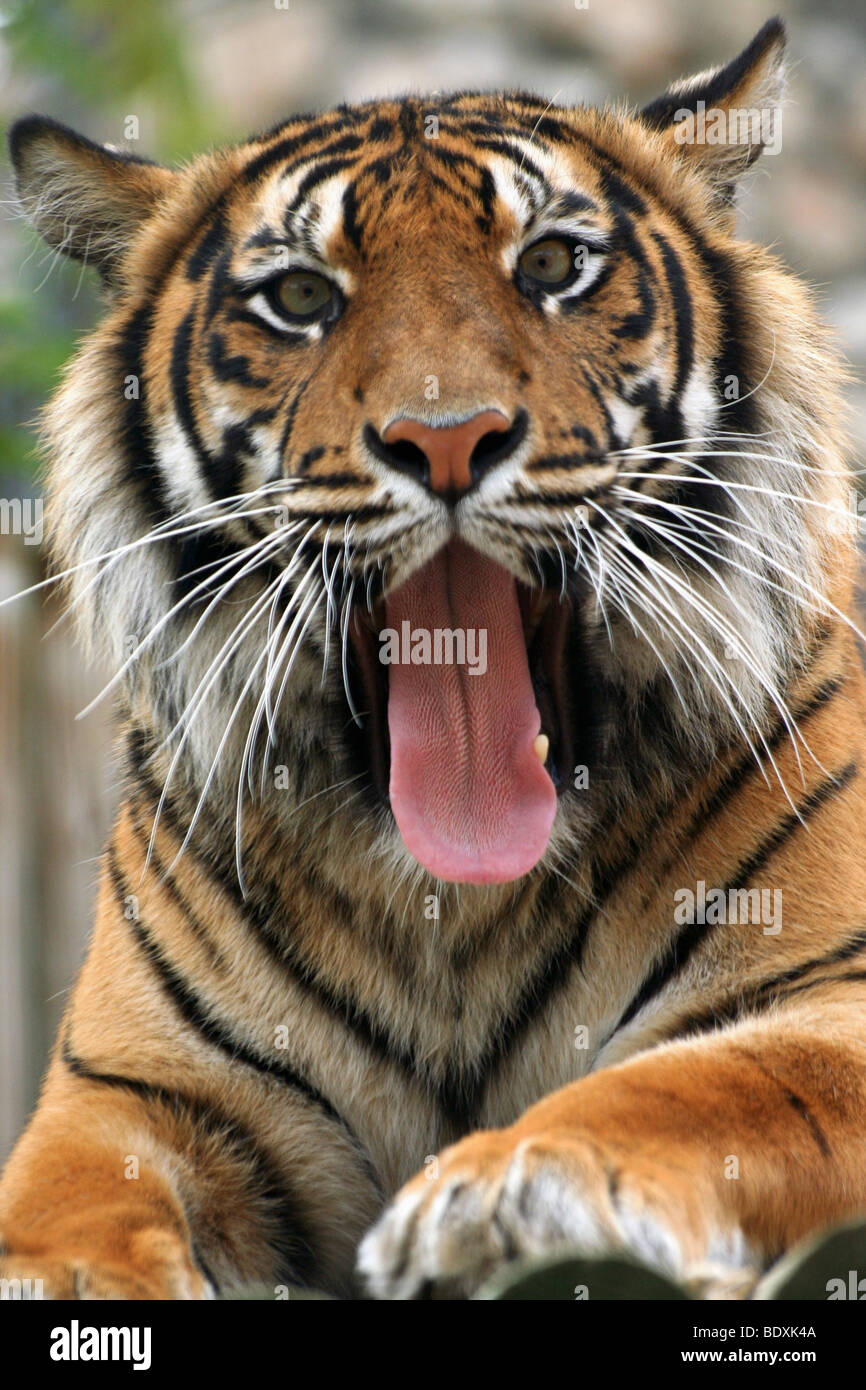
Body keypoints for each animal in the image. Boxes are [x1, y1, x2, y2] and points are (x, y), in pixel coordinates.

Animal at [2, 15, 865, 1302]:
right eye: (299, 297)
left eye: (551, 265)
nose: (446, 438)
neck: (447, 913)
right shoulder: (126, 1090)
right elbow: (67, 1209)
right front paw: (66, 1280)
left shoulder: (831, 998)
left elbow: (696, 1083)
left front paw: (500, 1191)